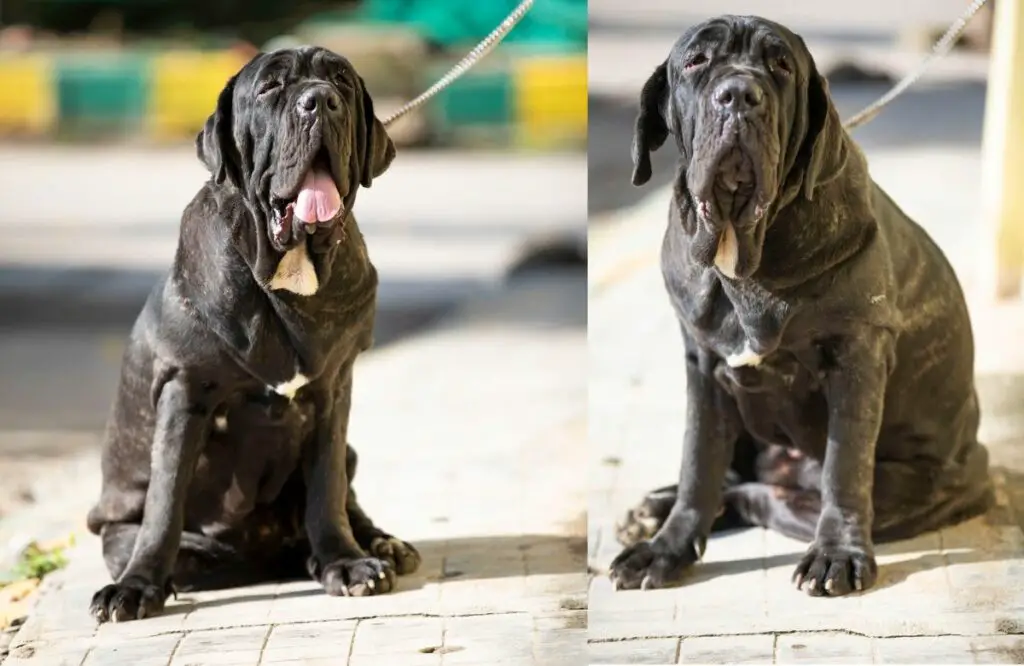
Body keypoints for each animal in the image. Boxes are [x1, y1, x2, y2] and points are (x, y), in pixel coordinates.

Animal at [84, 46, 419, 622]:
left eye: (341, 82)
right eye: (270, 88)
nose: (319, 101)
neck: (289, 266)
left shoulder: (333, 389)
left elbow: (327, 485)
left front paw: (344, 561)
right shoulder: (184, 391)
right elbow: (165, 500)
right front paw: (137, 586)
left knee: (344, 492)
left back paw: (375, 545)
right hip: (121, 525)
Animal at [606, 15, 991, 594]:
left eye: (781, 65)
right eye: (696, 62)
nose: (739, 95)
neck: (743, 254)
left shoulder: (856, 359)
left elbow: (843, 466)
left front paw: (838, 555)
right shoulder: (703, 367)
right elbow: (698, 462)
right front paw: (666, 548)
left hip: (902, 489)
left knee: (766, 496)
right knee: (733, 475)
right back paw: (654, 509)